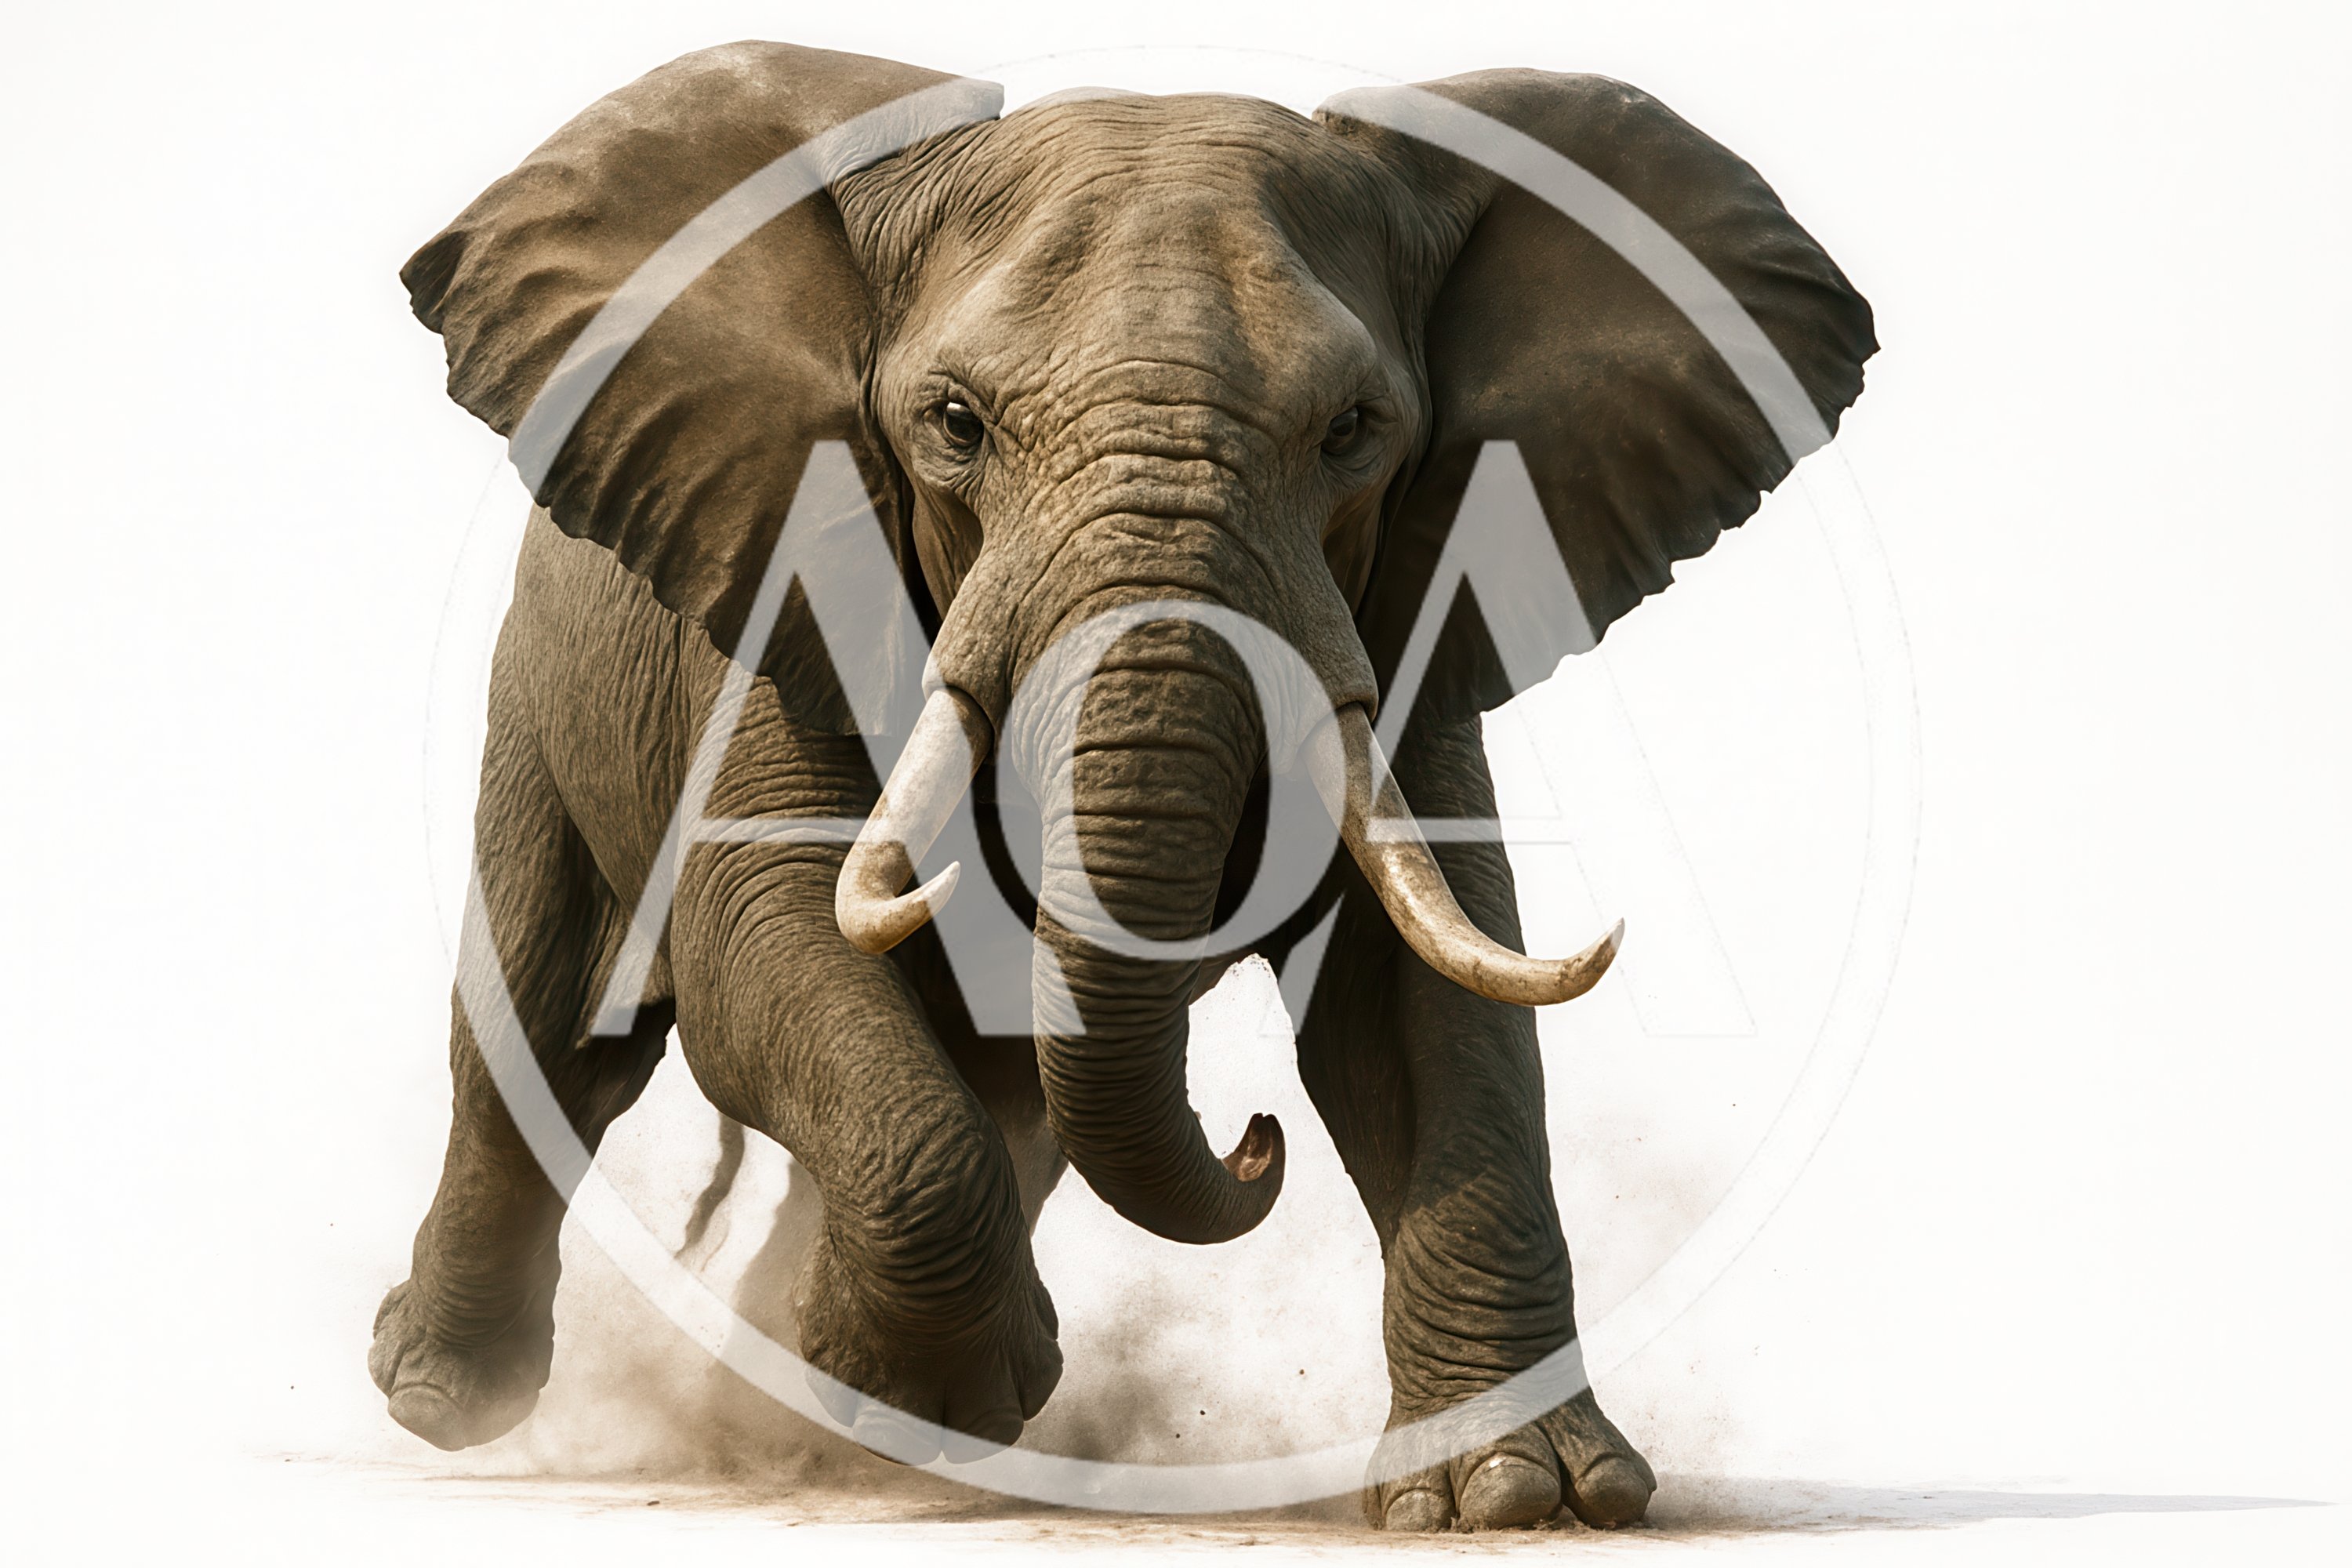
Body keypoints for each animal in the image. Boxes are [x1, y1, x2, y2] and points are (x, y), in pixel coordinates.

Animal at [369, 40, 1873, 1533]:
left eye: (1355, 430)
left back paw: (809, 1401)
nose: (1253, 1139)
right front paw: (927, 1387)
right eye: (955, 423)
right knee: (552, 1034)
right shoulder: (780, 585)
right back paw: (457, 1396)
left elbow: (1418, 993)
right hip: (541, 694)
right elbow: (766, 932)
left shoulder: (1404, 620)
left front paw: (1526, 1495)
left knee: (1006, 1085)